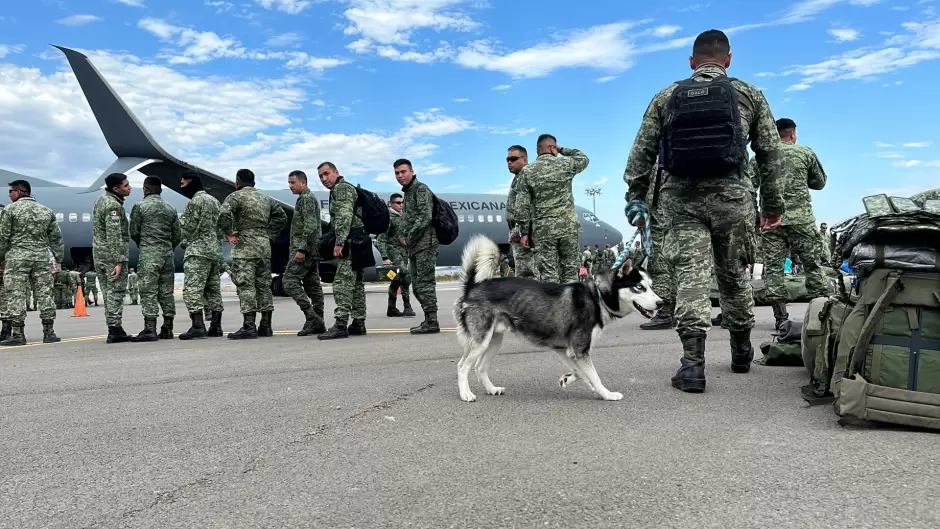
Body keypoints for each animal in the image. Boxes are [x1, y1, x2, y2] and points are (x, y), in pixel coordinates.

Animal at [454, 235, 660, 400]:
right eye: (639, 287)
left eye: (650, 285)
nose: (661, 303)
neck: (597, 297)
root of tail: (472, 287)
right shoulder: (579, 350)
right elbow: (594, 375)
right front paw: (607, 394)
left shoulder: (565, 349)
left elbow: (581, 372)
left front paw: (568, 379)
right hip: (481, 342)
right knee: (462, 366)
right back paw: (466, 394)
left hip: (494, 340)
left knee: (479, 367)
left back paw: (491, 389)